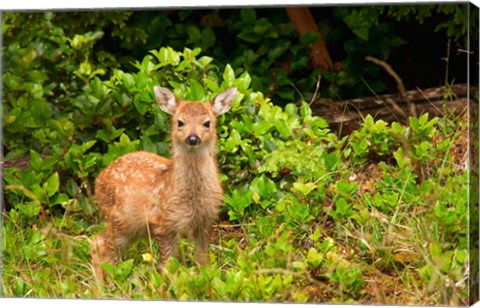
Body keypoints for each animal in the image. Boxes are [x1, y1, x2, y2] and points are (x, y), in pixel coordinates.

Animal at [90, 85, 236, 280]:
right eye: (179, 122)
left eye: (207, 123)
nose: (192, 138)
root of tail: (98, 179)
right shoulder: (164, 225)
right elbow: (167, 268)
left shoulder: (205, 222)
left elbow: (204, 264)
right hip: (119, 220)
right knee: (99, 244)